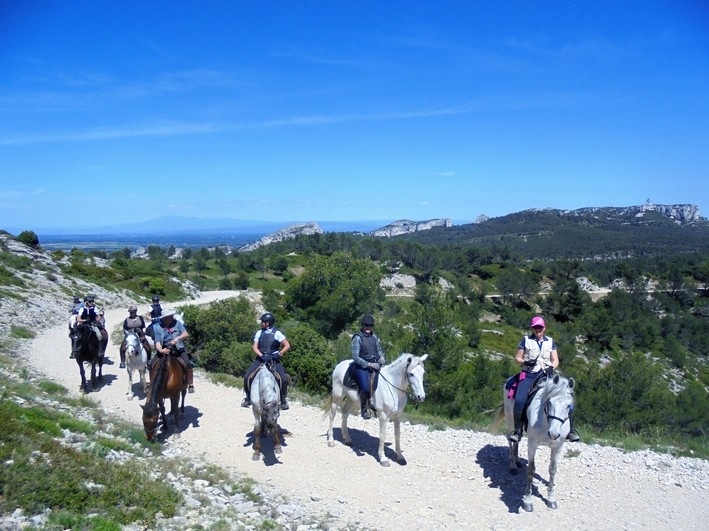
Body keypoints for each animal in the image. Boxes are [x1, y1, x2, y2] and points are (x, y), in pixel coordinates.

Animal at [504, 372, 576, 512]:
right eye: (549, 402)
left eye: (568, 406)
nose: (554, 433)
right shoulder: (532, 443)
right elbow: (531, 470)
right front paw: (528, 501)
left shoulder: (558, 446)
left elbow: (553, 470)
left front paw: (551, 499)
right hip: (510, 420)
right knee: (510, 439)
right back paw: (513, 465)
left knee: (517, 441)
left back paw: (517, 461)